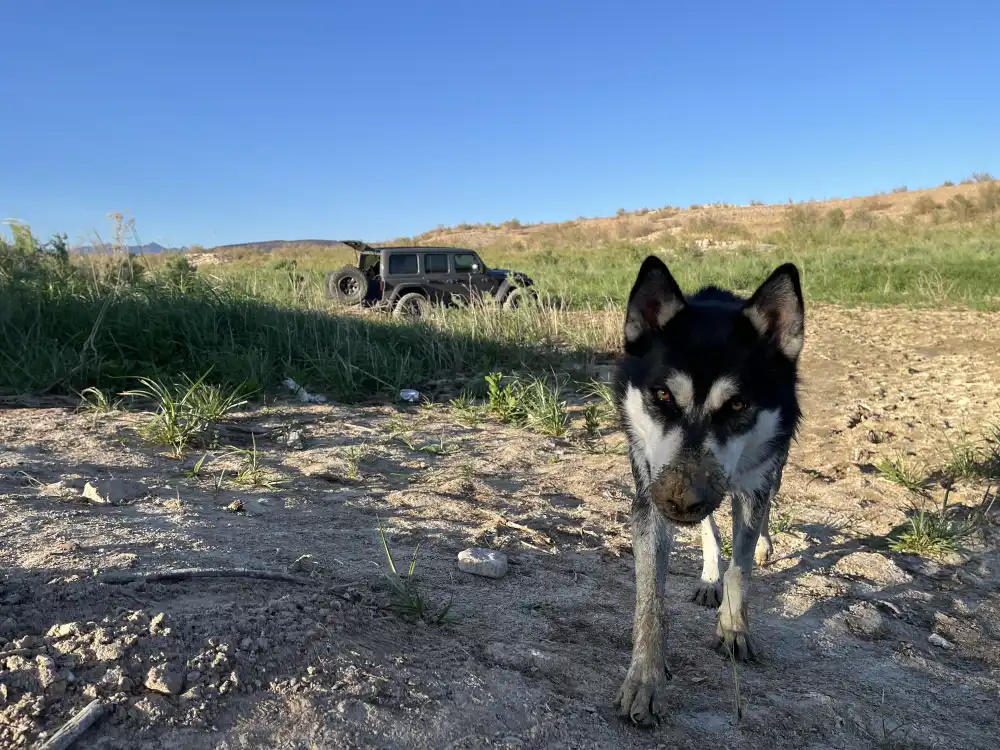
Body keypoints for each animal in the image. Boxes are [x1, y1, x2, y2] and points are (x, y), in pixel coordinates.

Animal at [608, 256, 804, 724]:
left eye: (738, 405)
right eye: (662, 395)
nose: (679, 500)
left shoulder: (754, 484)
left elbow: (743, 566)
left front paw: (734, 628)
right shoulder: (647, 498)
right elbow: (651, 602)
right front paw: (645, 680)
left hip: (771, 469)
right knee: (709, 527)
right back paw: (708, 575)